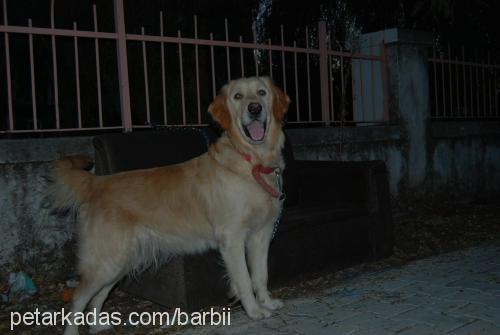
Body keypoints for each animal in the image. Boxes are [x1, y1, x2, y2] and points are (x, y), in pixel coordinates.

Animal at [50, 77, 290, 334]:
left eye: (261, 92)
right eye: (238, 97)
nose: (254, 108)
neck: (251, 160)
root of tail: (97, 182)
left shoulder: (262, 234)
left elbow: (261, 275)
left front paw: (267, 302)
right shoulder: (232, 237)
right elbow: (244, 280)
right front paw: (254, 311)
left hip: (119, 262)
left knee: (98, 296)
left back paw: (96, 325)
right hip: (106, 260)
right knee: (79, 297)